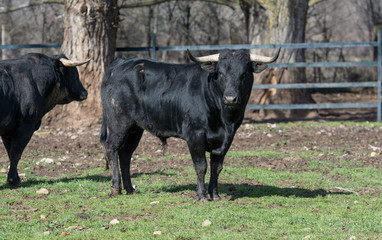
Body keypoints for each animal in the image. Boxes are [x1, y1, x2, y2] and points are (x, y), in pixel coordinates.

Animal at [0, 52, 89, 188]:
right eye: (74, 73)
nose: (85, 92)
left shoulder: (8, 129)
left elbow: (10, 153)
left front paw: (16, 178)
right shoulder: (26, 126)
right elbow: (16, 153)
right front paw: (13, 180)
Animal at [100, 47, 280, 200]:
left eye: (244, 73)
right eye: (221, 73)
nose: (230, 98)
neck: (224, 119)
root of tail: (121, 62)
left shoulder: (226, 140)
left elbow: (216, 167)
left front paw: (214, 195)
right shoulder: (195, 135)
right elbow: (201, 166)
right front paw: (202, 195)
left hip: (135, 128)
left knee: (125, 154)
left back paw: (130, 189)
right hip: (119, 122)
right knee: (112, 148)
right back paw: (115, 188)